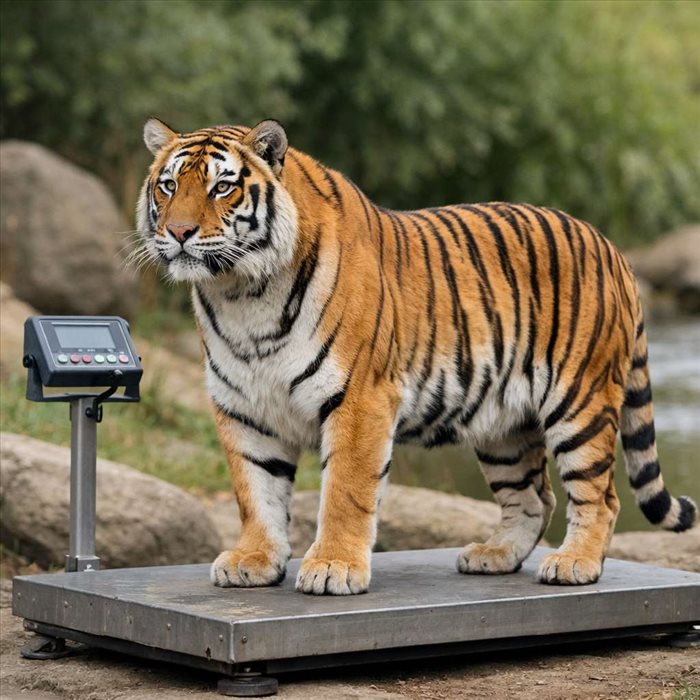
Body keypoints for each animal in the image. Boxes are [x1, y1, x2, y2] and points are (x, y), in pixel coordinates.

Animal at [135, 117, 697, 595]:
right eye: (169, 186)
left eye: (221, 187)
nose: (179, 233)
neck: (241, 296)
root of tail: (612, 246)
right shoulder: (243, 407)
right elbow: (256, 491)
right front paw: (253, 560)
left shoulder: (359, 399)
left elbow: (345, 490)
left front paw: (333, 566)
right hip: (504, 428)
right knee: (535, 497)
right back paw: (494, 555)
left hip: (580, 402)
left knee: (600, 495)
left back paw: (575, 563)